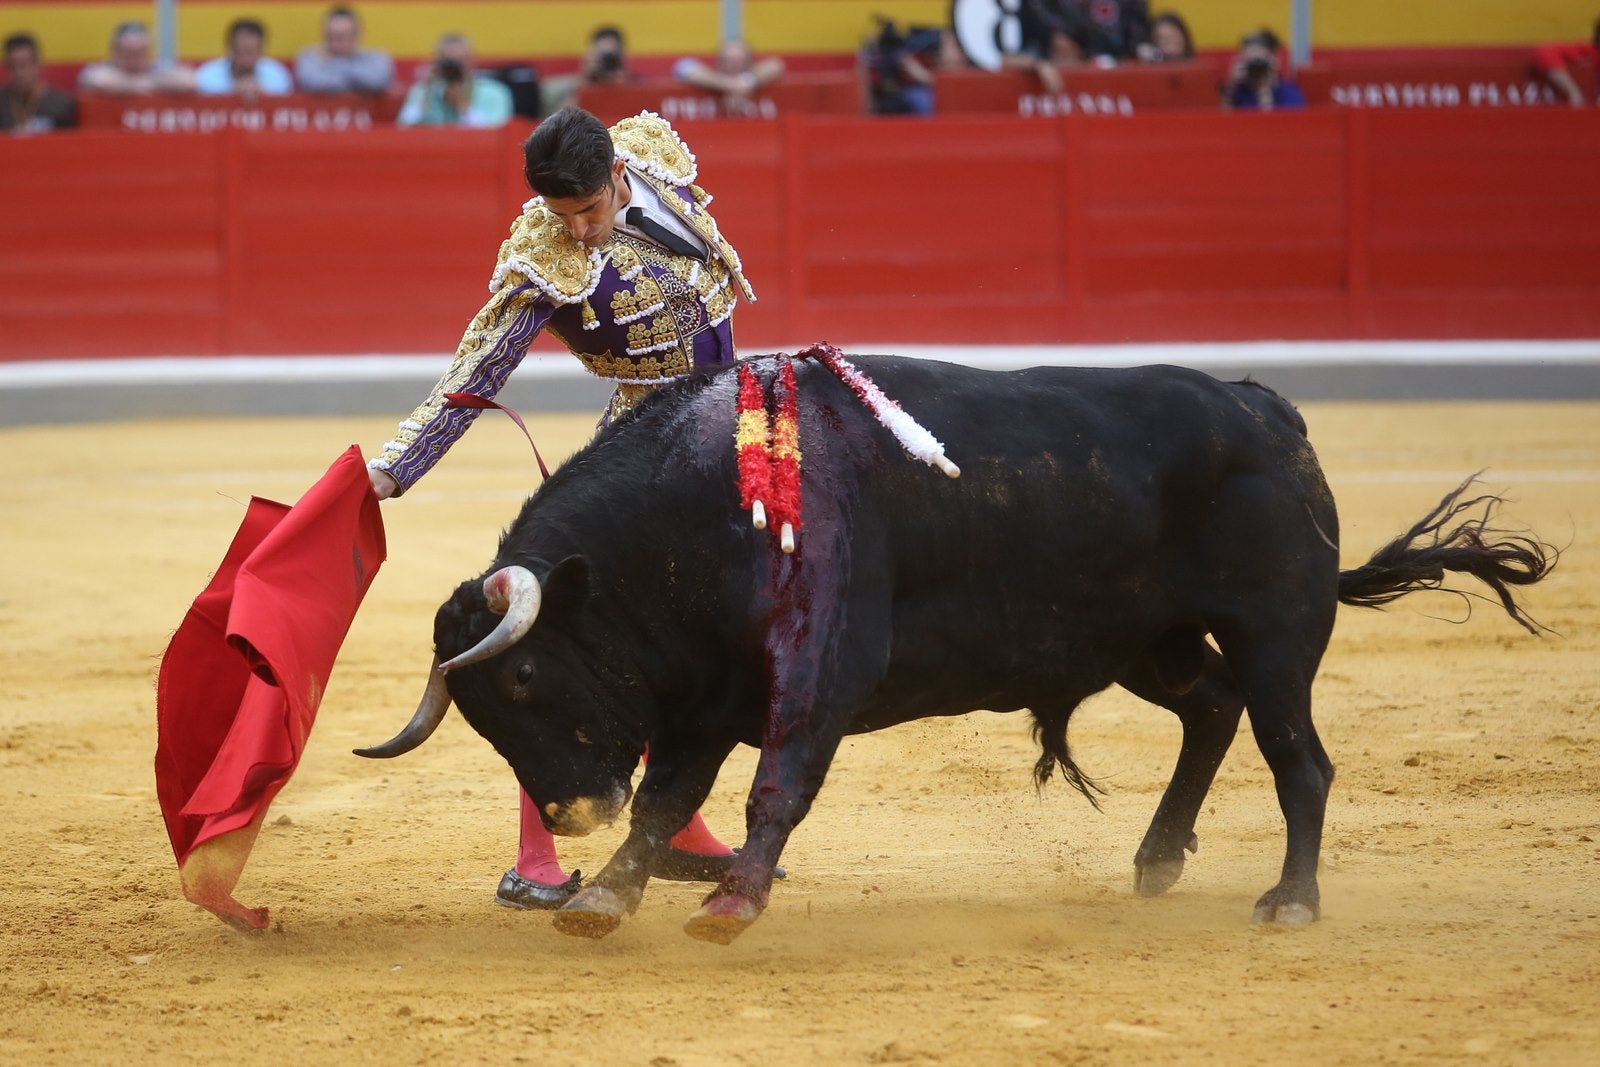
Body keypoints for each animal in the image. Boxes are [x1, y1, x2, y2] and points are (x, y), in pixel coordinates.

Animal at [360, 356, 1548, 940]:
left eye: (524, 673)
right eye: (482, 716)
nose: (565, 813)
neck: (707, 507)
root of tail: (1270, 411)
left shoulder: (818, 669)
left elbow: (776, 783)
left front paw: (733, 901)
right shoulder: (701, 696)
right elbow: (667, 797)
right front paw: (605, 896)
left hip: (1275, 633)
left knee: (1298, 754)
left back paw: (1290, 901)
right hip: (1141, 639)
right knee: (1210, 708)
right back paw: (1157, 857)